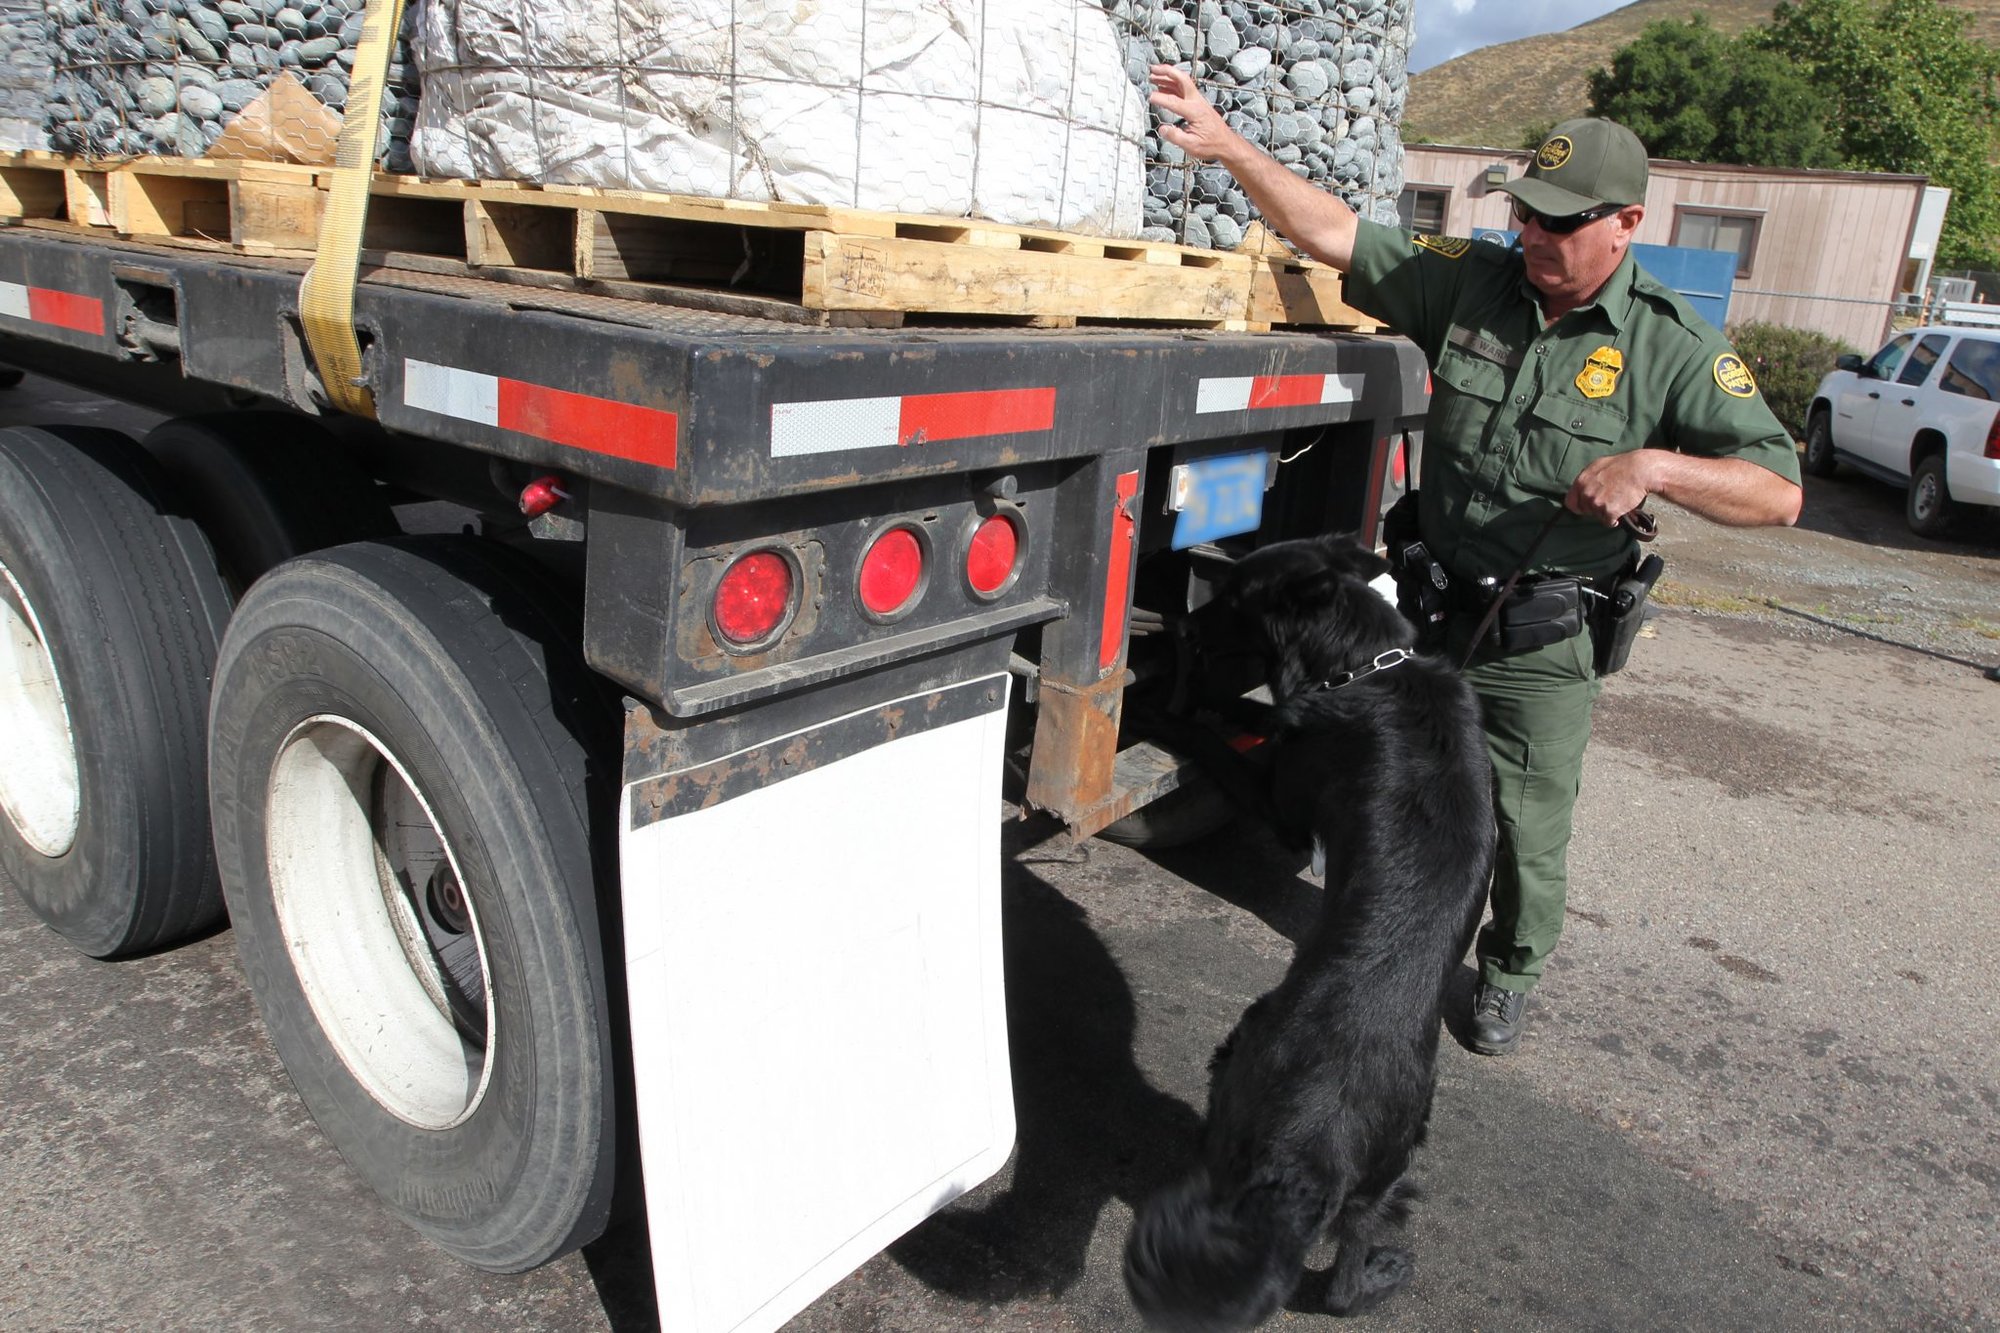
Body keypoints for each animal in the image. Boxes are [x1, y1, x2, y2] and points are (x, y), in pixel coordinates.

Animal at [1128, 536, 1488, 1320]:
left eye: (1234, 596)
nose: (1184, 625)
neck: (1372, 660)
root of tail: (1325, 1142)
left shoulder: (1281, 801)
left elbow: (1227, 729)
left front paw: (1175, 711)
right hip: (1386, 1170)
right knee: (1345, 1286)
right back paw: (1385, 1271)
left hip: (1236, 1059)